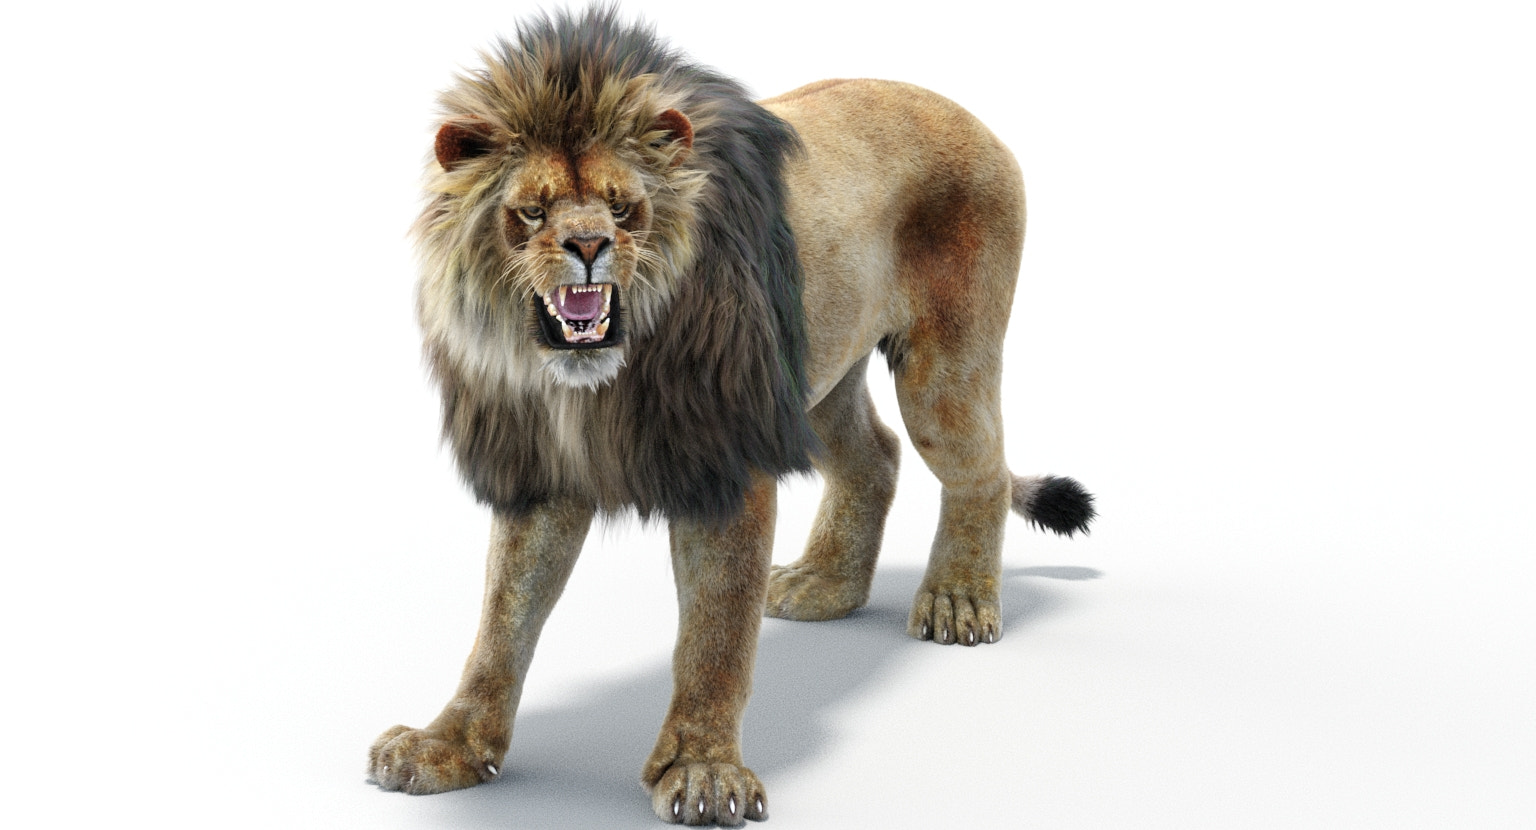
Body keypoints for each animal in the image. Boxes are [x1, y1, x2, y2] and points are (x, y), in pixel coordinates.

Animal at [369, 7, 1095, 825]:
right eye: (532, 210)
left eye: (622, 207)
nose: (588, 246)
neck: (590, 384)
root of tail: (970, 116)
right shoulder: (541, 470)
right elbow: (502, 619)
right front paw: (449, 747)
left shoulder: (728, 456)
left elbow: (716, 634)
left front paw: (704, 771)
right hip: (817, 374)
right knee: (875, 454)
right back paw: (822, 585)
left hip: (942, 370)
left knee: (982, 471)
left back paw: (958, 600)